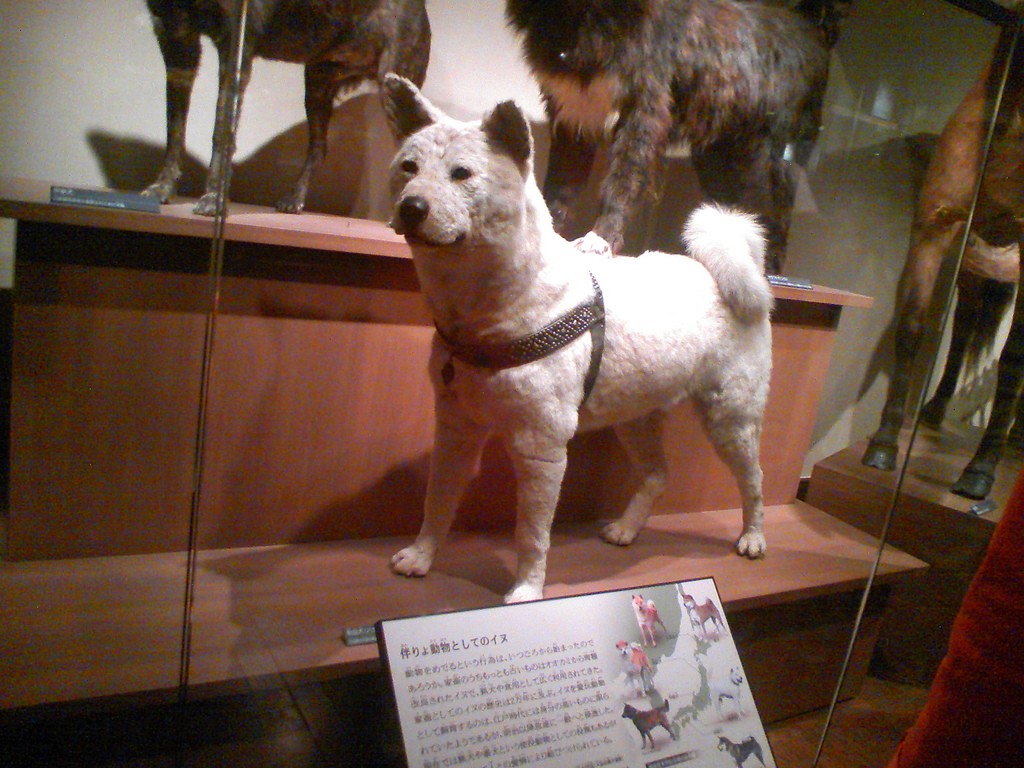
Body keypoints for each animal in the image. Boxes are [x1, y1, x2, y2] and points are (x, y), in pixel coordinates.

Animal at [380, 75, 770, 606]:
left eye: (462, 174)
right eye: (409, 167)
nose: (411, 207)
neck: (488, 313)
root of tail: (725, 271)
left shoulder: (541, 446)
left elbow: (531, 533)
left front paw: (527, 589)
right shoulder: (455, 429)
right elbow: (437, 502)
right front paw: (420, 558)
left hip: (730, 420)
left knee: (754, 481)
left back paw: (753, 537)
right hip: (637, 417)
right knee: (657, 474)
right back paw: (626, 530)